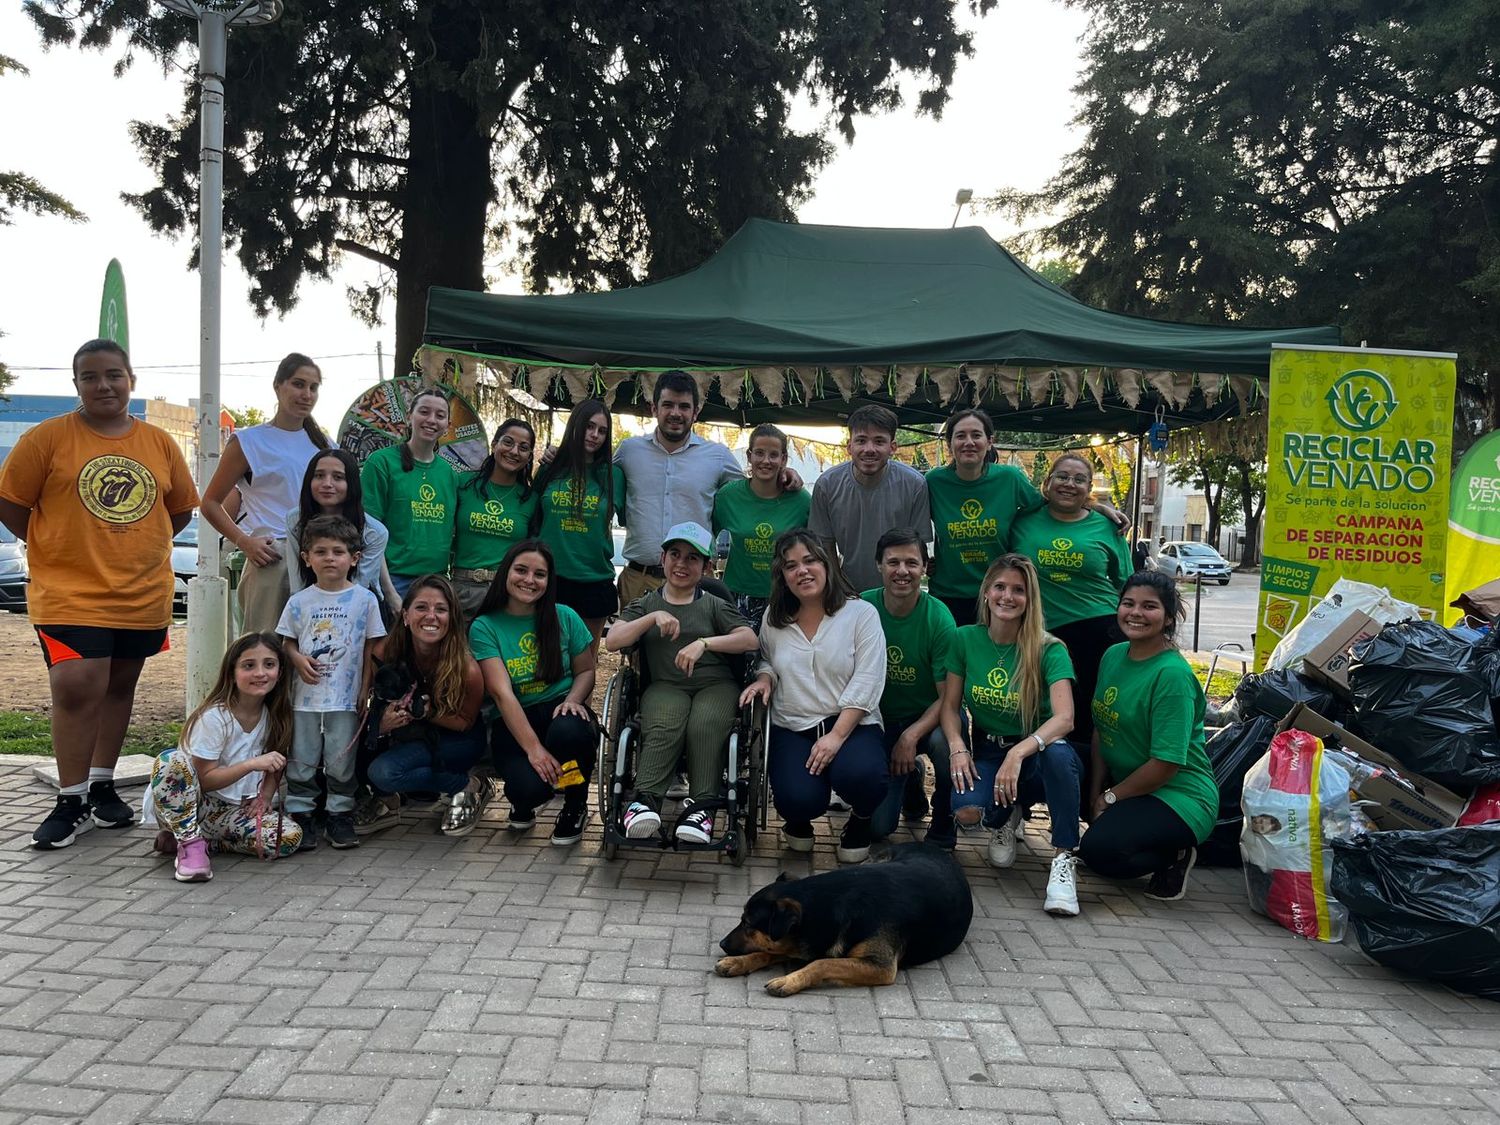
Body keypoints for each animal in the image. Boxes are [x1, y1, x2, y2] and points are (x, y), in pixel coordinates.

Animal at [714, 840, 972, 1002]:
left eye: (748, 924)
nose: (722, 944)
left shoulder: (880, 967)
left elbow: (822, 963)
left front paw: (790, 980)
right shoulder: (800, 944)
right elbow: (768, 951)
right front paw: (738, 962)